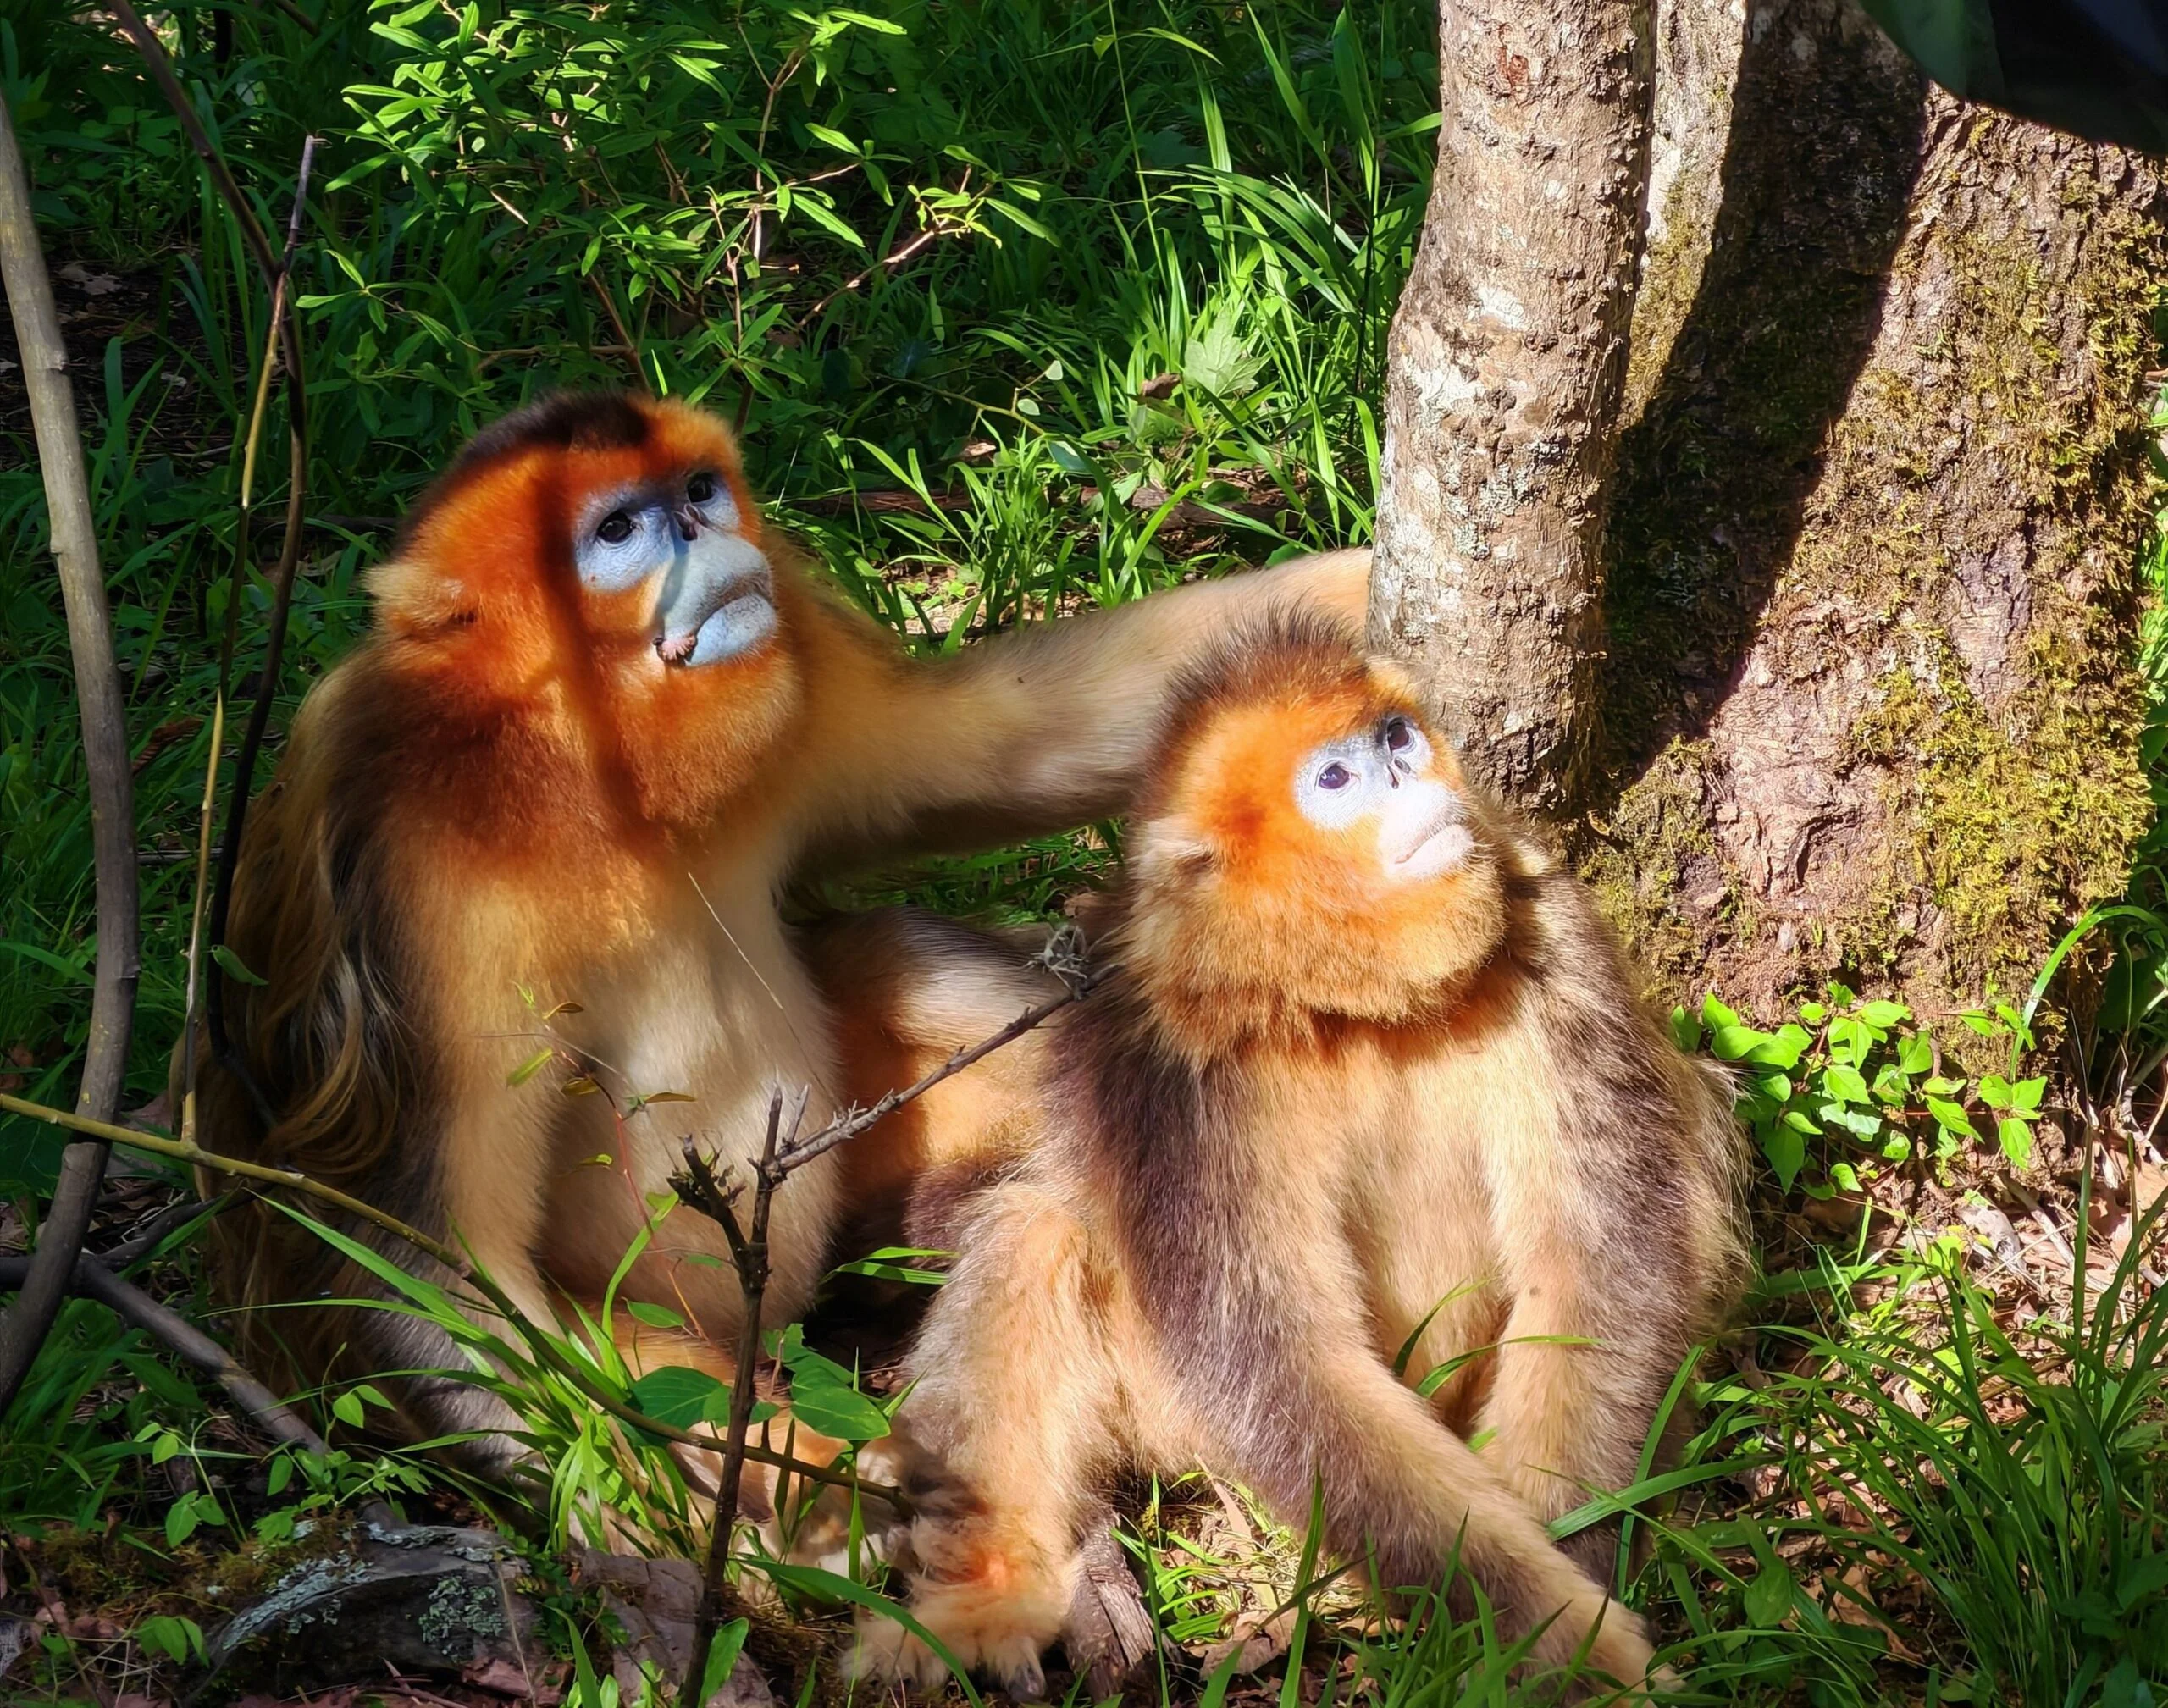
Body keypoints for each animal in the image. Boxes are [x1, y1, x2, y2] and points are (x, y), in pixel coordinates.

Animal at [193, 390, 1369, 1466]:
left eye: (698, 492)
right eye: (620, 530)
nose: (709, 537)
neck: (585, 759)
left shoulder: (788, 659)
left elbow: (998, 742)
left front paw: (1352, 584)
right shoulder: (395, 849)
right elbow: (425, 1257)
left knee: (893, 954)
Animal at [850, 613, 1747, 1695]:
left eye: (1397, 737)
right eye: (1334, 777)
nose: (1409, 777)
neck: (1353, 1005)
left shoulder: (1552, 934)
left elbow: (1593, 1267)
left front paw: (1558, 1602)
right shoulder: (1175, 1074)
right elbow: (1281, 1366)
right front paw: (1558, 1647)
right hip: (1167, 1416)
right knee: (1032, 1226)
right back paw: (982, 1596)